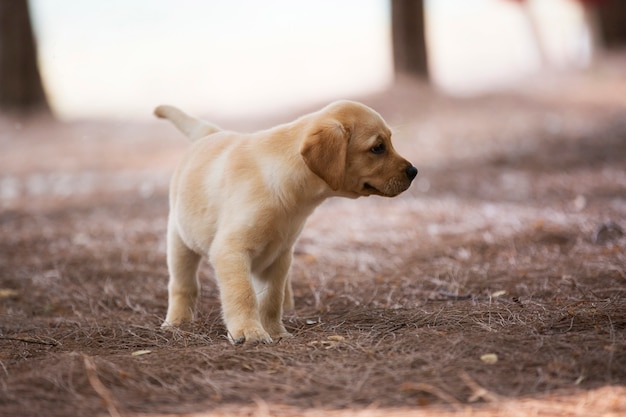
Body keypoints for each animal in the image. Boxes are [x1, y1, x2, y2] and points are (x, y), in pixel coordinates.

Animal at [153, 99, 414, 342]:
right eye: (378, 148)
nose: (414, 171)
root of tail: (210, 134)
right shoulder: (231, 250)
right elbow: (243, 294)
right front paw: (249, 331)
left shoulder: (280, 256)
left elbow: (271, 299)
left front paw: (276, 332)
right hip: (180, 241)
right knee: (183, 285)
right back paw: (177, 321)